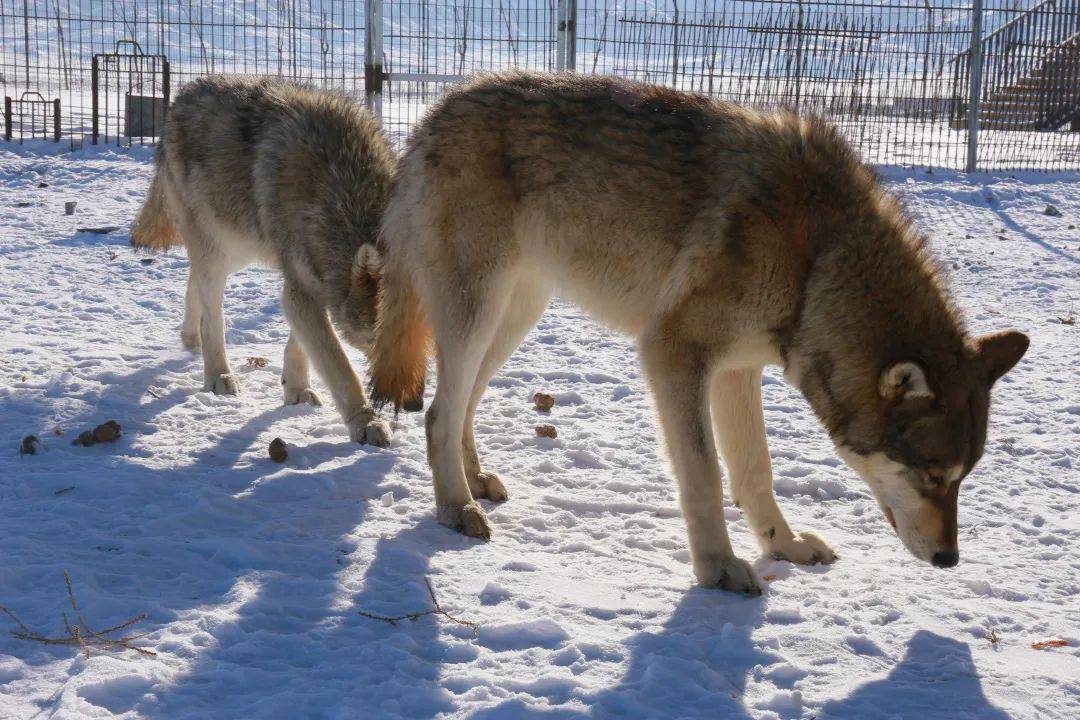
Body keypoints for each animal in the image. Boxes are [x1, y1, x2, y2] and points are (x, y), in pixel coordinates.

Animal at [371, 70, 1028, 595]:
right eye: (932, 476)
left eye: (962, 479)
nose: (949, 559)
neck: (817, 261)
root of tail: (433, 114)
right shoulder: (674, 353)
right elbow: (706, 475)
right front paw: (718, 569)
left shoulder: (739, 368)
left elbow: (755, 473)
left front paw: (784, 548)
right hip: (478, 316)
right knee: (438, 412)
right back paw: (455, 508)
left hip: (512, 318)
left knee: (461, 405)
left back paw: (476, 483)